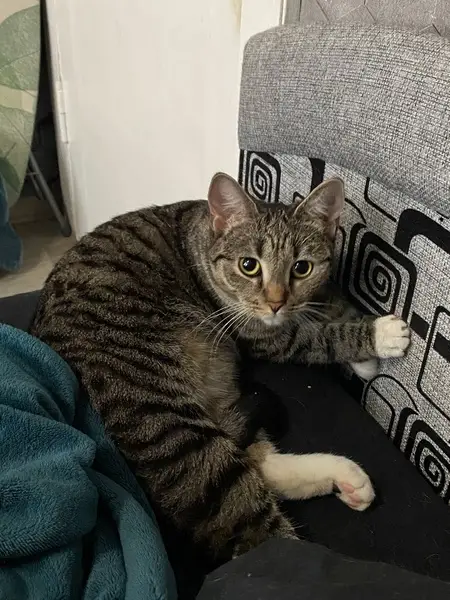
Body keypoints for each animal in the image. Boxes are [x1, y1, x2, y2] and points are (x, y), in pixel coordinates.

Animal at [31, 173, 410, 559]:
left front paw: (363, 356)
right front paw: (379, 336)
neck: (200, 239)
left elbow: (330, 299)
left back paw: (346, 477)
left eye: (301, 268)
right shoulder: (265, 336)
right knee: (249, 520)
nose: (276, 302)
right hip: (166, 423)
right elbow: (321, 335)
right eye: (249, 265)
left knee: (259, 462)